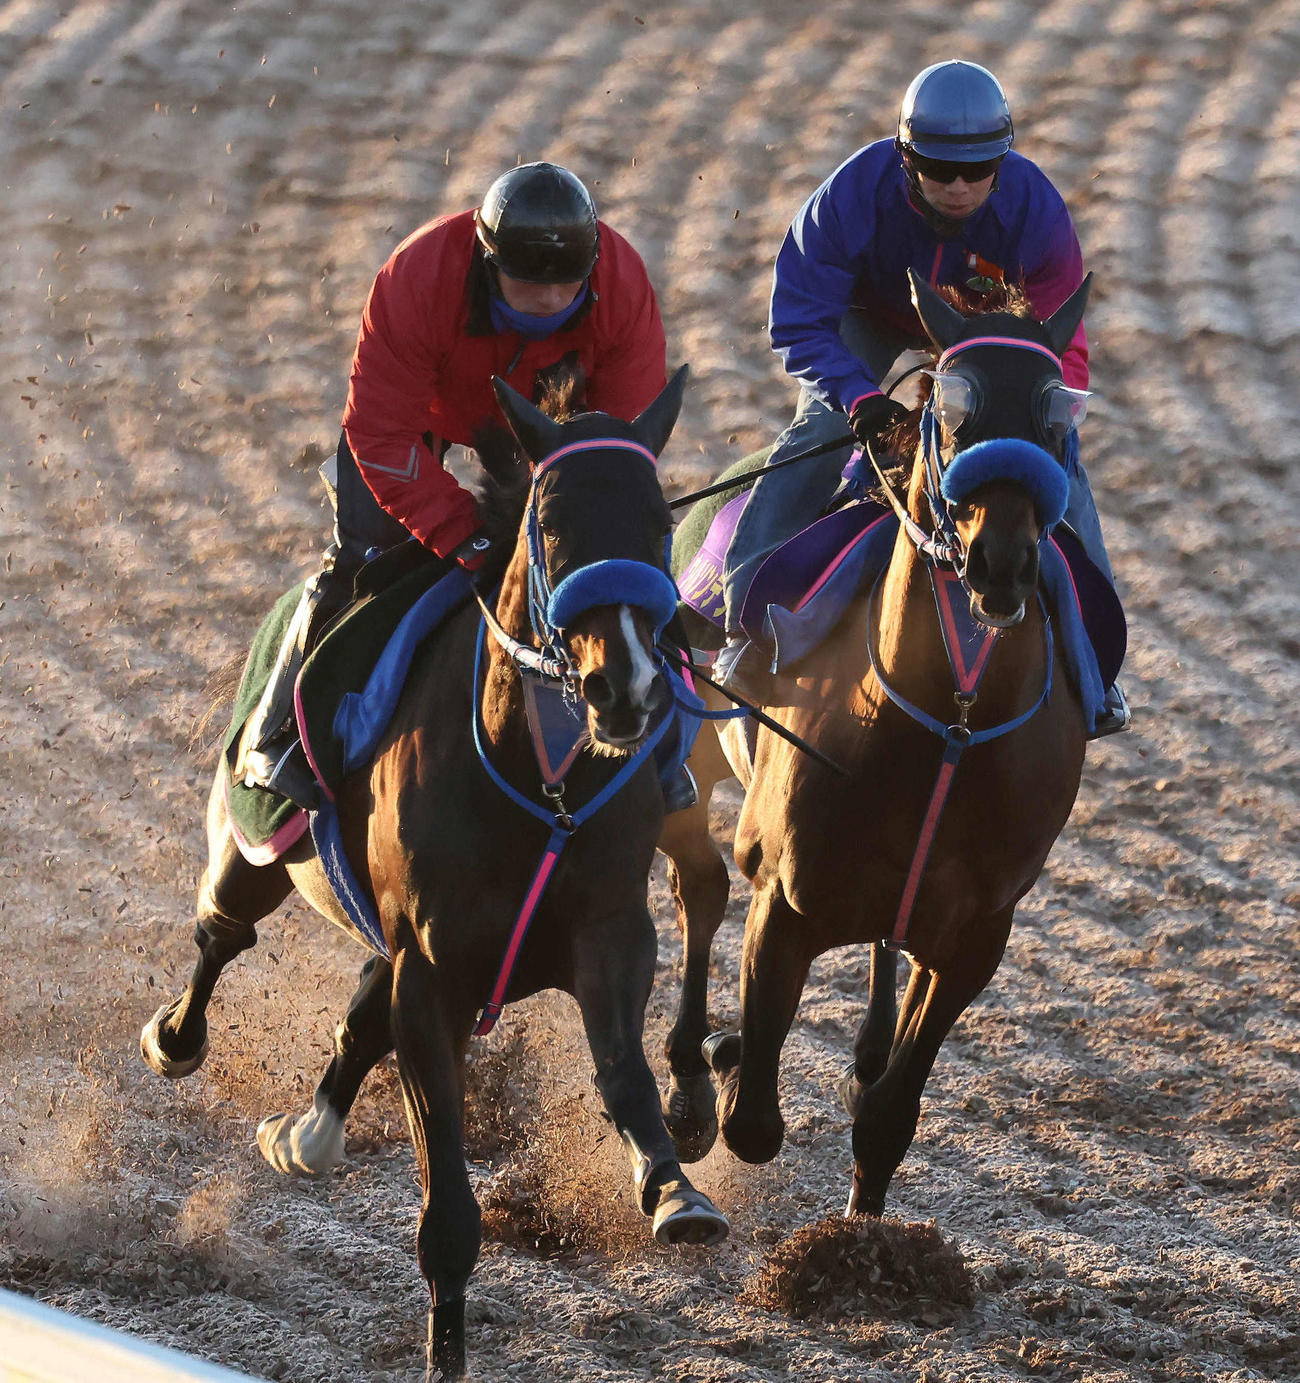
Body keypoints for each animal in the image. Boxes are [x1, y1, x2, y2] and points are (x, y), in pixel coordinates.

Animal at [140, 367, 729, 1380]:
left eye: (659, 521)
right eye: (553, 524)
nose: (627, 686)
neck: (542, 778)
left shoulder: (608, 930)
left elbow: (624, 1074)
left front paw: (674, 1190)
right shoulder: (434, 975)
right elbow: (448, 1208)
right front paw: (444, 1349)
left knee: (355, 1007)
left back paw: (309, 1131)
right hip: (260, 842)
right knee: (223, 930)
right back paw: (179, 1037)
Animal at [657, 272, 1094, 1218]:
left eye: (1056, 419)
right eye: (954, 414)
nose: (999, 560)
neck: (950, 723)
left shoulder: (976, 936)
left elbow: (890, 1112)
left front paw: (863, 1231)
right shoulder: (785, 900)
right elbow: (754, 1121)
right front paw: (723, 1059)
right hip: (682, 739)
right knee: (698, 884)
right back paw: (690, 1074)